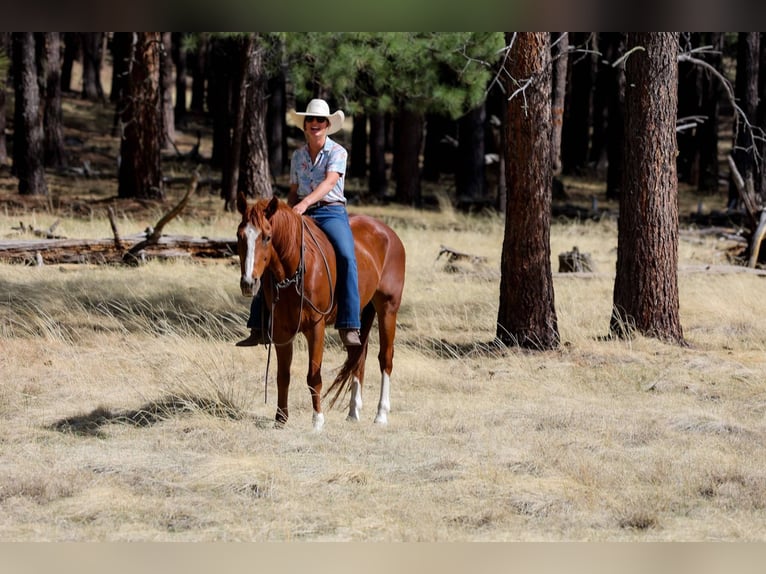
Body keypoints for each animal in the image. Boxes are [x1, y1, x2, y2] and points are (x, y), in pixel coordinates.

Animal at [236, 194, 406, 430]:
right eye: (239, 236)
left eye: (267, 237)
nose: (248, 283)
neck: (296, 270)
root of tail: (390, 234)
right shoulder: (281, 331)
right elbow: (283, 375)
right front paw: (280, 419)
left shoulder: (316, 327)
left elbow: (313, 376)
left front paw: (317, 420)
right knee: (358, 356)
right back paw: (353, 412)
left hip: (388, 308)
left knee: (385, 358)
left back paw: (381, 414)